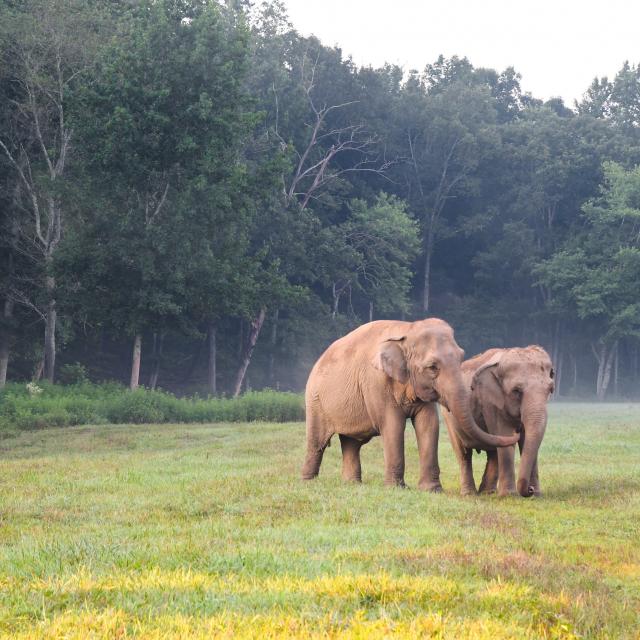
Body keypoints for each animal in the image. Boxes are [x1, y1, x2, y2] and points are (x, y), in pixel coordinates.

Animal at [301, 318, 520, 489]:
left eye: (461, 358)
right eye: (432, 367)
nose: (517, 433)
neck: (407, 330)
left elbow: (429, 423)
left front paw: (432, 489)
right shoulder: (376, 382)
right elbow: (393, 425)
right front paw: (396, 488)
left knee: (351, 443)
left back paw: (352, 484)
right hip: (315, 400)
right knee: (317, 442)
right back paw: (309, 482)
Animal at [442, 345, 555, 498]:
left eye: (550, 390)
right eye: (516, 391)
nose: (530, 490)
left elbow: (527, 440)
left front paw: (537, 495)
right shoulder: (491, 401)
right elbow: (505, 433)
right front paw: (509, 495)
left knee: (493, 452)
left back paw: (487, 493)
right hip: (448, 415)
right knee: (463, 453)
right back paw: (469, 494)